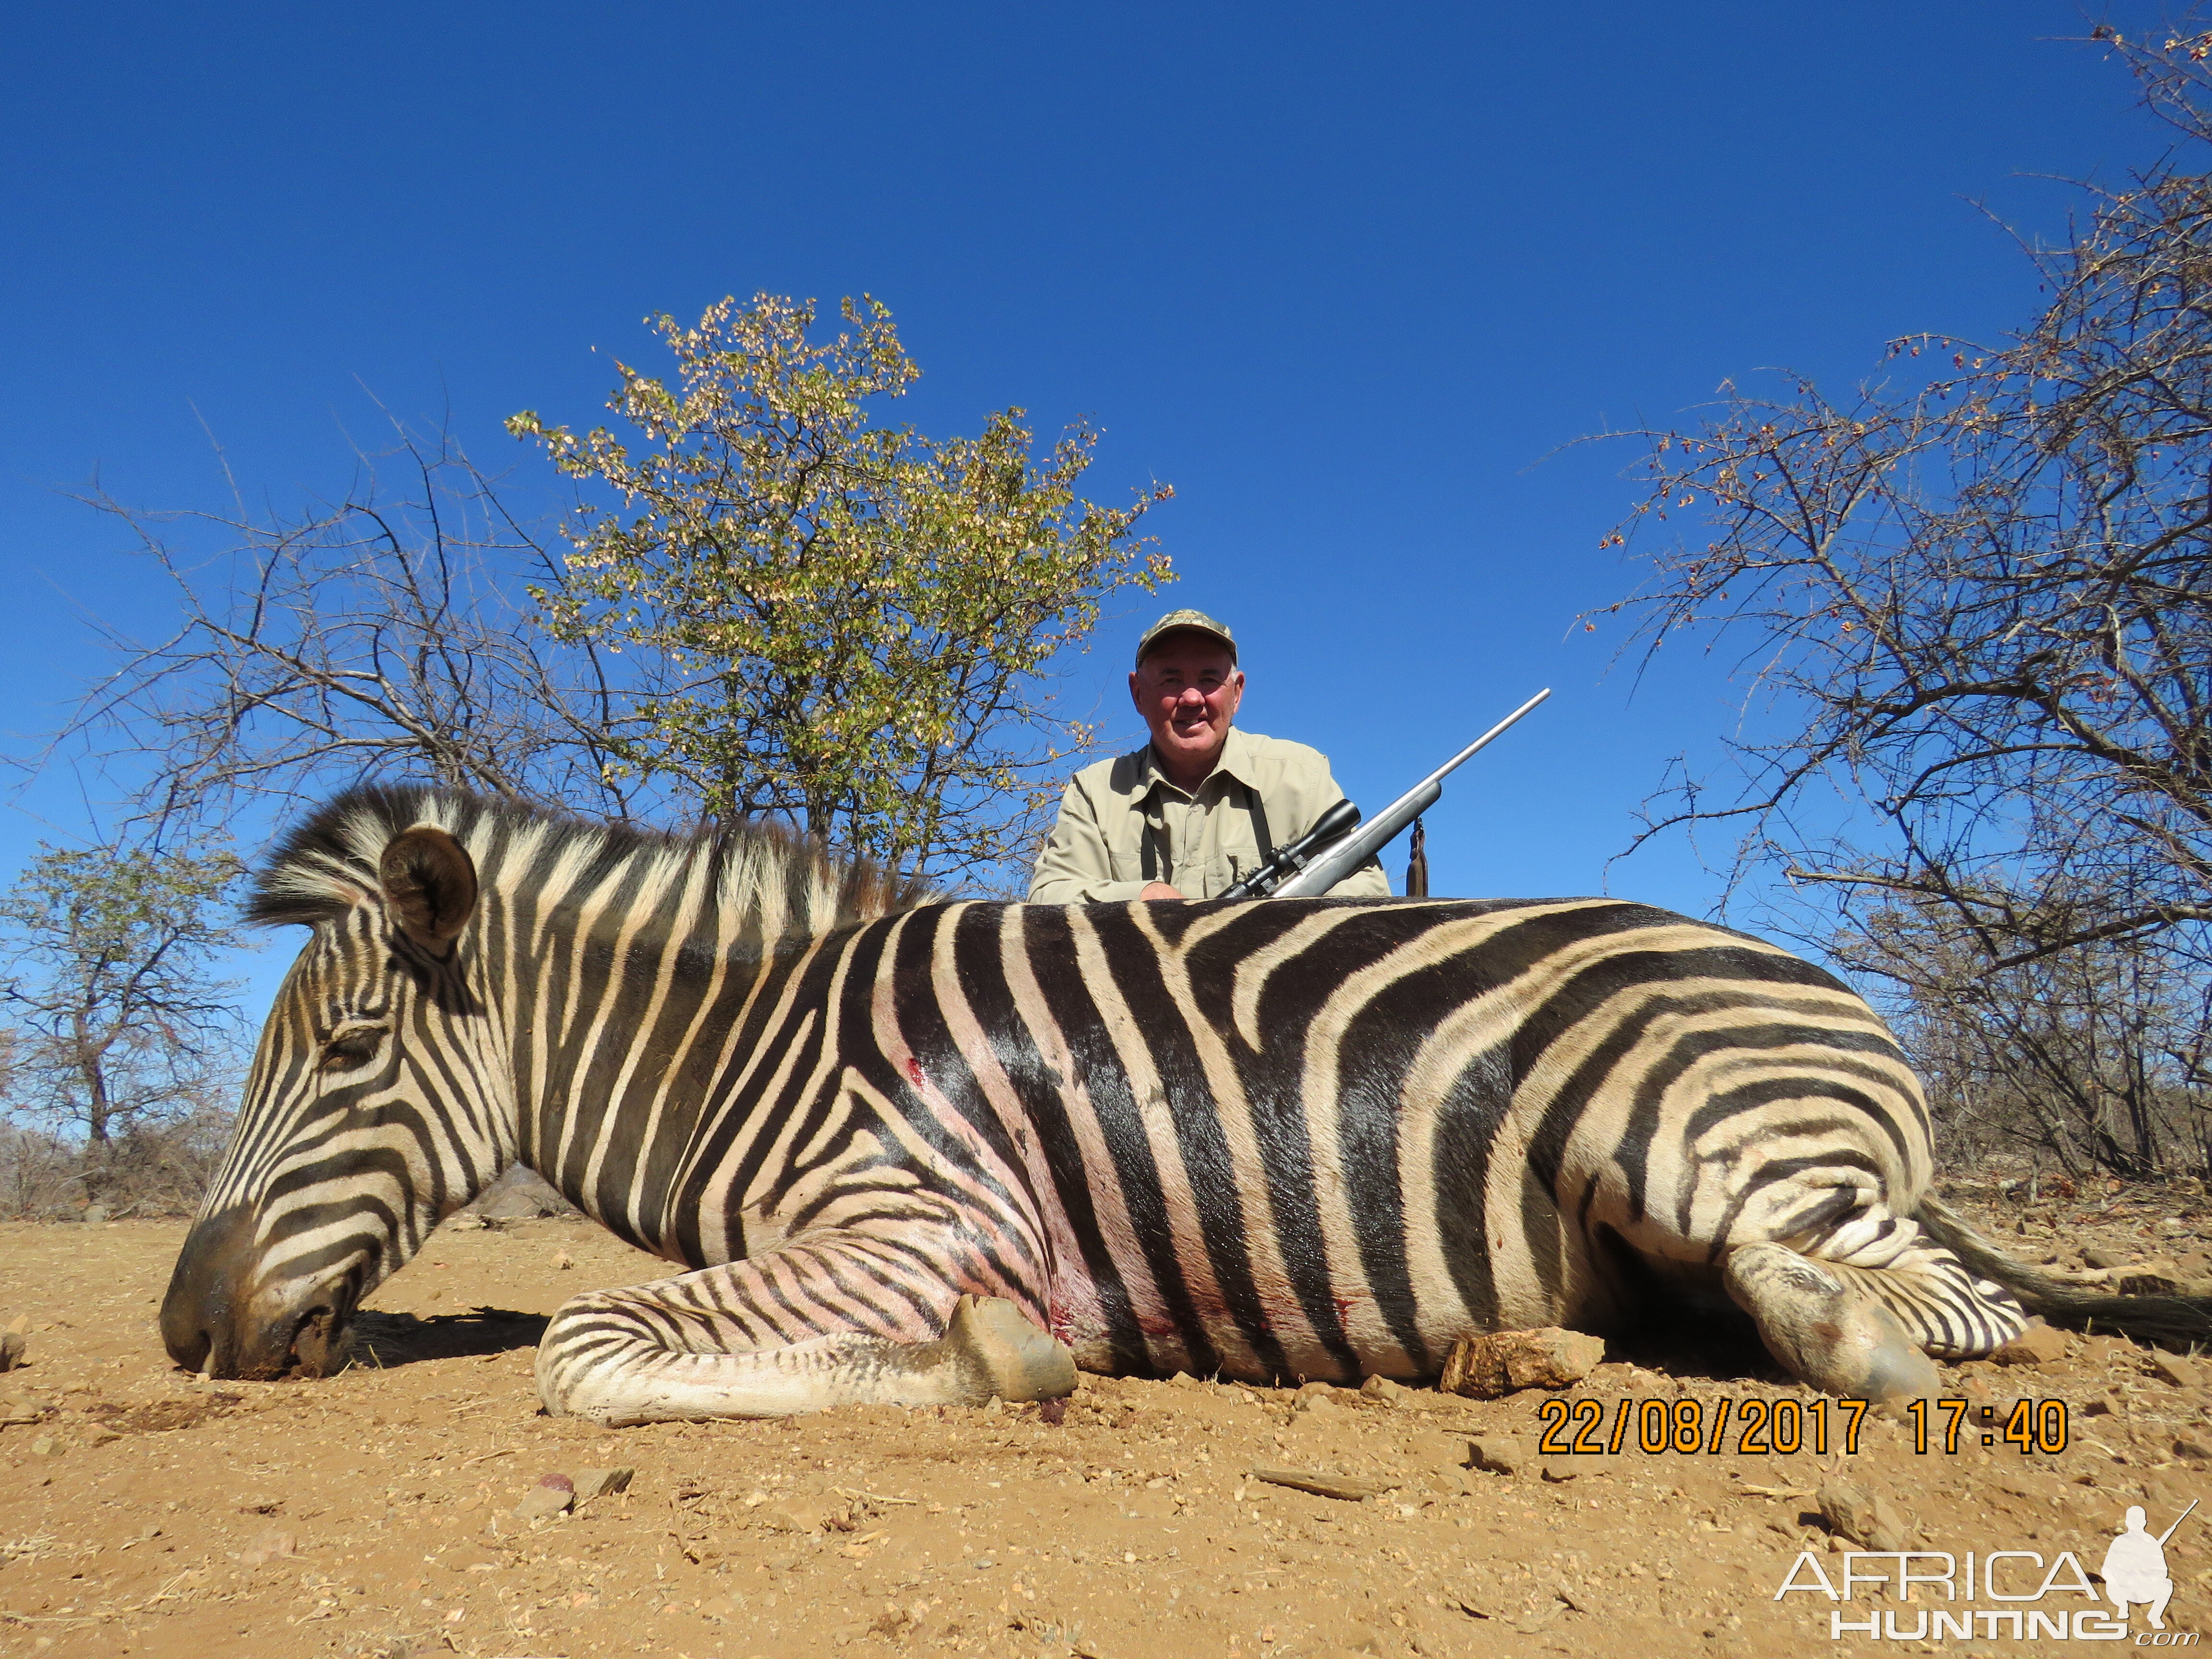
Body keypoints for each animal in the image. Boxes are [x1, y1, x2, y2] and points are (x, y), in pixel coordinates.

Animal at [163, 792, 2203, 1433]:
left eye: (344, 1052)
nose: (183, 1328)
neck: (748, 1044)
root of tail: (1828, 984)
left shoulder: (918, 1220)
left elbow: (582, 1346)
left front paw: (996, 1360)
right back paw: (1524, 1353)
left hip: (1690, 1138)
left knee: (1926, 1305)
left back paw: (1835, 1344)